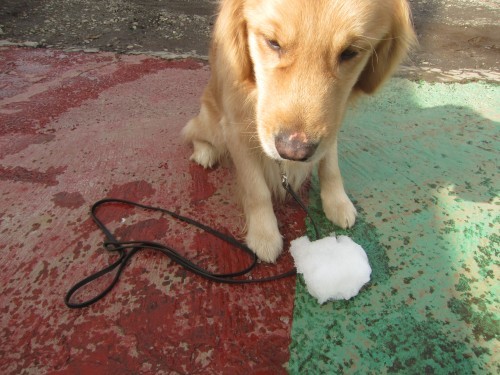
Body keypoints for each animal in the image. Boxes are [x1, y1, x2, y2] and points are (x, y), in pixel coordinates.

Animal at [182, 0, 416, 262]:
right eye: (273, 42)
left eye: (349, 52)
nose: (292, 152)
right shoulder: (235, 130)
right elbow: (256, 190)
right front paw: (264, 235)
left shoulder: (331, 126)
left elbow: (330, 167)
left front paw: (337, 202)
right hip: (212, 122)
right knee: (194, 130)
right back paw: (205, 152)